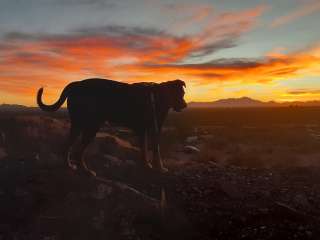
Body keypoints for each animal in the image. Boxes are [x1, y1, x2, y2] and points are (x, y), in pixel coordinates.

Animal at [37, 79, 188, 176]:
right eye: (180, 94)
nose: (185, 105)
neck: (157, 96)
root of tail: (76, 84)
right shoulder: (153, 129)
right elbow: (155, 149)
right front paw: (160, 168)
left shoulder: (144, 130)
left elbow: (144, 150)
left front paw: (146, 165)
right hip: (91, 126)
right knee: (78, 151)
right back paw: (86, 171)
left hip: (77, 125)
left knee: (67, 147)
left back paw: (69, 166)